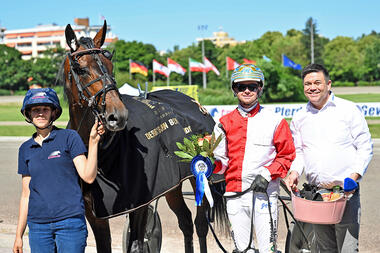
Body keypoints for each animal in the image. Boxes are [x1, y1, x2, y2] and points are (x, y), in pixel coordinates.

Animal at [58, 20, 227, 253]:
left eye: (110, 66)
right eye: (81, 69)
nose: (117, 115)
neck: (103, 153)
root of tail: (194, 102)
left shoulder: (140, 203)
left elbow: (137, 244)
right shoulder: (94, 213)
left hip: (198, 175)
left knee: (200, 224)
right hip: (172, 183)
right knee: (184, 221)